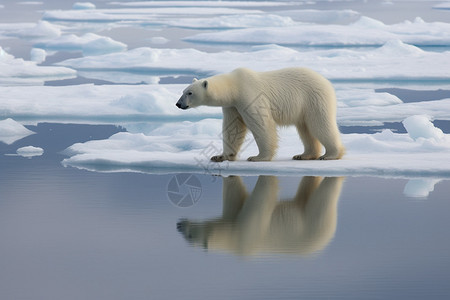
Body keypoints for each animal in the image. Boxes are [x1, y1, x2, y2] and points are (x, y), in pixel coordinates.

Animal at [176, 67, 344, 162]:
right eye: (183, 91)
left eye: (190, 93)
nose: (178, 104)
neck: (235, 85)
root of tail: (326, 82)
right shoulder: (232, 105)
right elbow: (233, 129)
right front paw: (220, 156)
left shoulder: (250, 95)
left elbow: (261, 125)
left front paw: (257, 157)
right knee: (305, 129)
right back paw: (303, 155)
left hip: (313, 99)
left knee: (320, 125)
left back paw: (330, 155)